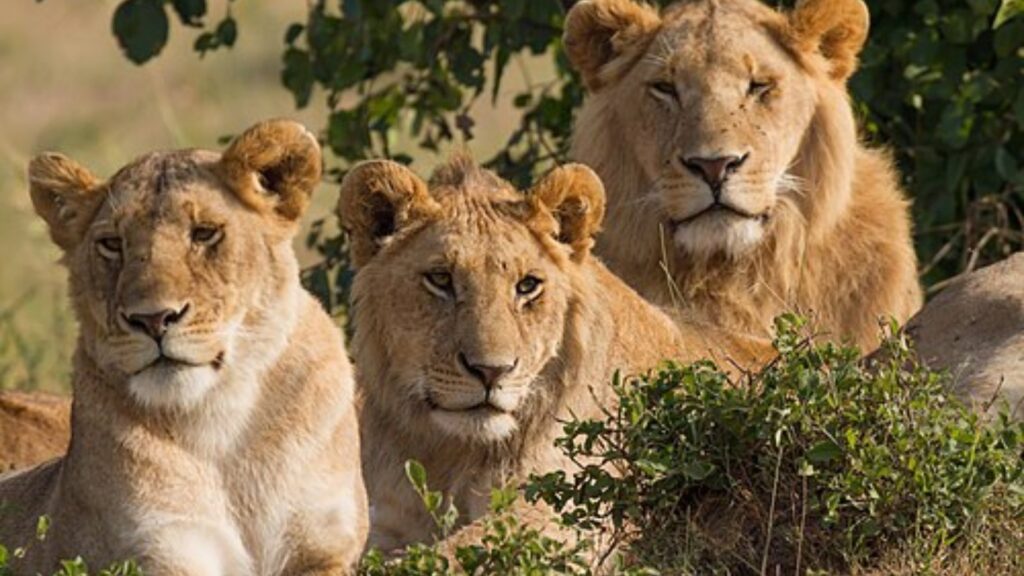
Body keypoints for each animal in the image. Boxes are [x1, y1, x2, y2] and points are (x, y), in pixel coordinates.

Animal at [0, 120, 367, 574]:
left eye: (204, 233)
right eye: (112, 244)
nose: (153, 319)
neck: (222, 423)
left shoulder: (324, 546)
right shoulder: (158, 548)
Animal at [336, 155, 769, 555]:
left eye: (527, 286)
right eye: (440, 279)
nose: (491, 372)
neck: (453, 453)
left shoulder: (567, 509)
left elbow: (454, 554)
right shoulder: (384, 518)